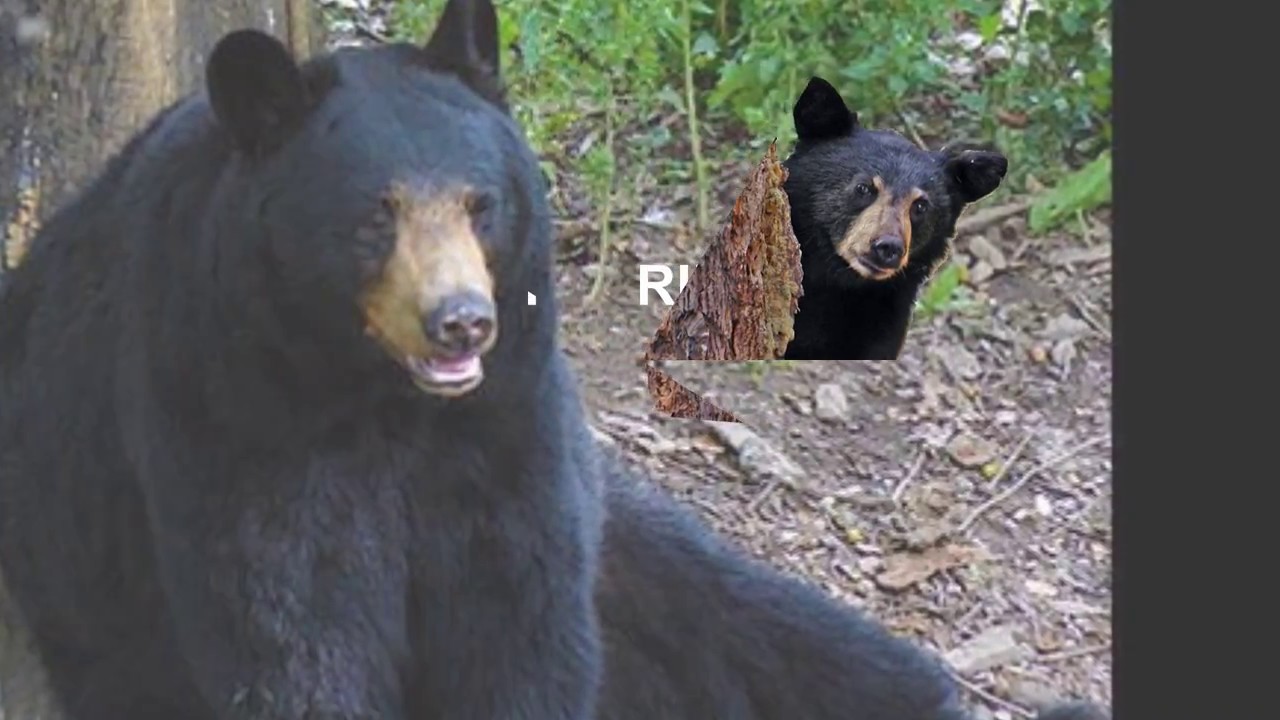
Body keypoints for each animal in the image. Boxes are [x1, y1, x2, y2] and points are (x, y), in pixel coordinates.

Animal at [0, 1, 604, 718]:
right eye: (376, 217)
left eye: (480, 205)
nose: (460, 322)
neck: (382, 397)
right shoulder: (227, 401)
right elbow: (291, 619)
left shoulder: (508, 412)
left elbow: (521, 608)